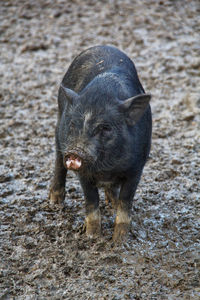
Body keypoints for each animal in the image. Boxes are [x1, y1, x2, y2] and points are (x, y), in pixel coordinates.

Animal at [48, 45, 152, 241]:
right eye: (73, 124)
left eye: (105, 127)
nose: (75, 151)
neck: (107, 167)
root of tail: (103, 45)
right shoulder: (84, 173)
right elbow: (91, 201)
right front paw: (92, 237)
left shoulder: (137, 167)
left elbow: (126, 202)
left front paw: (119, 241)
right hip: (58, 125)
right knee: (58, 160)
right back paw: (54, 203)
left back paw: (112, 202)